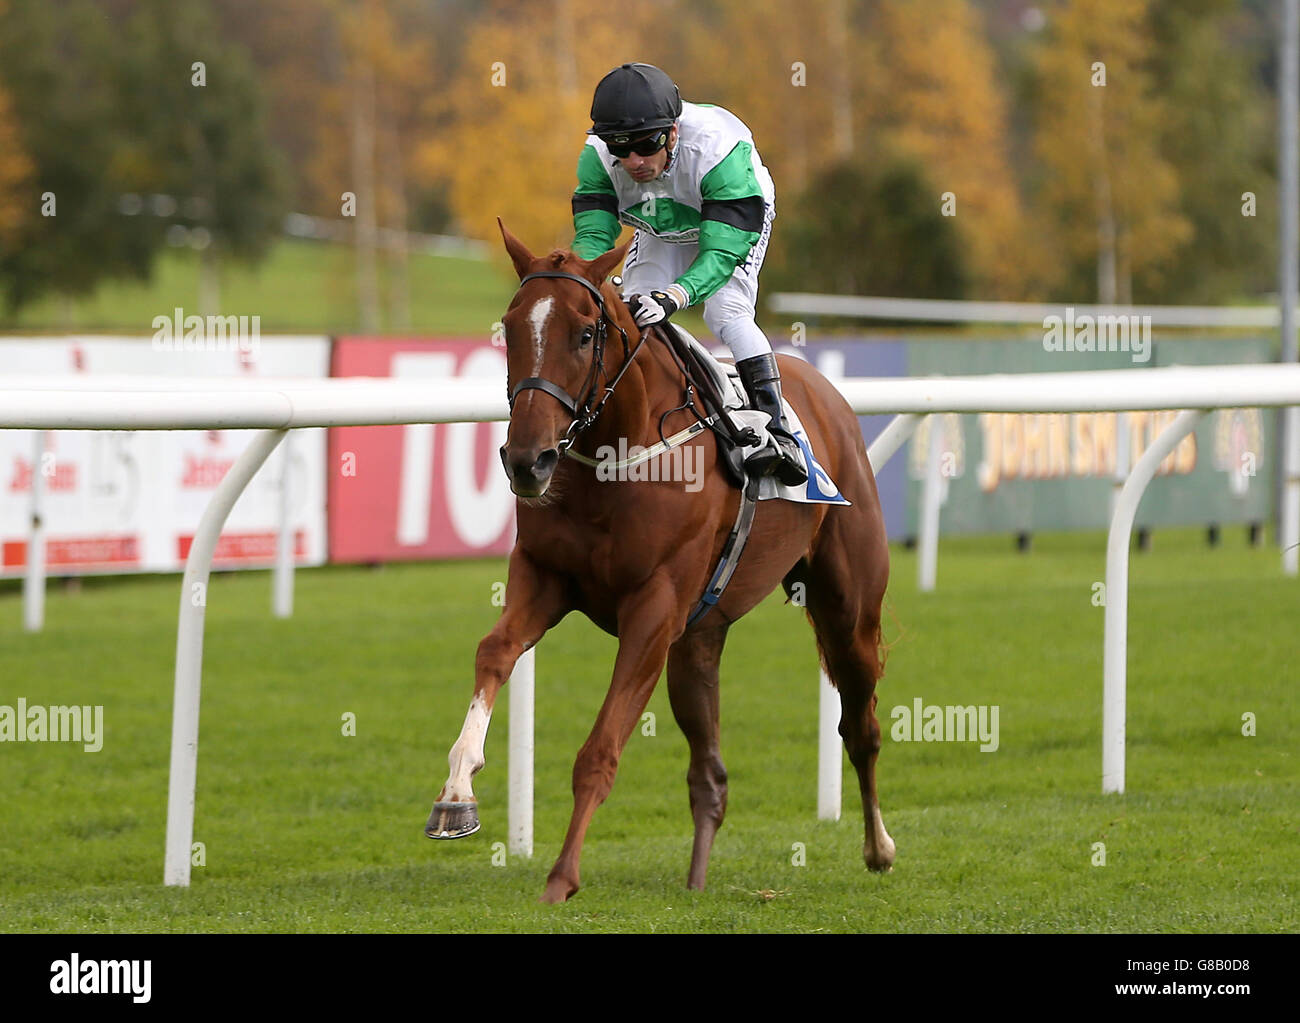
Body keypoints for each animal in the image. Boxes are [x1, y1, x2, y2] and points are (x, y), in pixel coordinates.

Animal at [426, 219, 894, 899]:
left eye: (585, 333)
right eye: (510, 327)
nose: (528, 460)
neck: (619, 451)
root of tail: (826, 392)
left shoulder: (653, 609)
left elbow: (600, 749)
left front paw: (561, 878)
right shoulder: (545, 576)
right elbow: (494, 651)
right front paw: (456, 792)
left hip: (847, 607)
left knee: (860, 726)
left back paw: (878, 847)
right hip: (698, 640)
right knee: (711, 775)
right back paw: (696, 882)